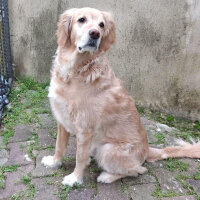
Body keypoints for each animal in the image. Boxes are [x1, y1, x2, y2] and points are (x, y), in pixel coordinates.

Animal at [41, 7, 200, 186]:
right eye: (81, 19)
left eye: (101, 25)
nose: (95, 34)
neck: (75, 70)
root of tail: (147, 150)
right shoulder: (62, 120)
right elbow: (59, 145)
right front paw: (54, 162)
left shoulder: (85, 128)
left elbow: (80, 157)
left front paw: (75, 178)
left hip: (107, 150)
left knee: (138, 170)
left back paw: (107, 176)